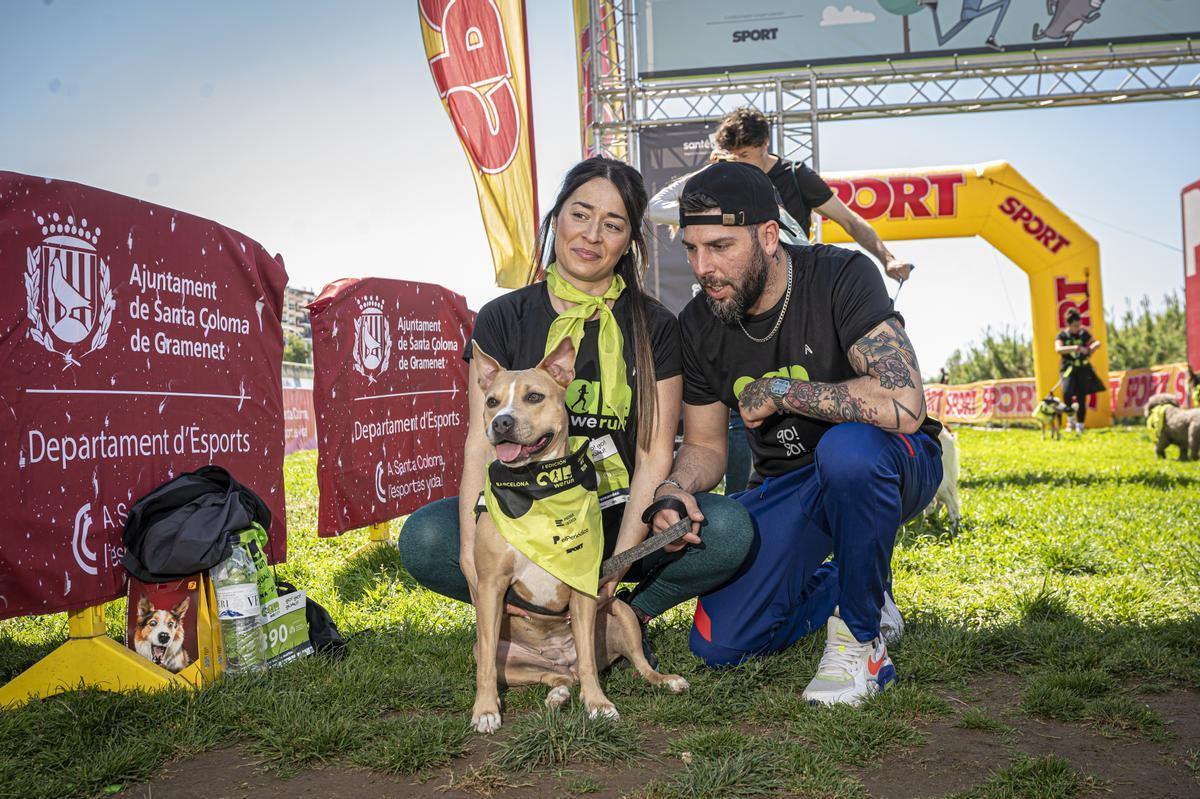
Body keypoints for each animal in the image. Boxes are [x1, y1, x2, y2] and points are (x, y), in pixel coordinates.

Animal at [472, 338, 691, 729]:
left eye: (534, 397)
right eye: (492, 401)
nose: (502, 422)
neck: (537, 488)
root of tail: (559, 658)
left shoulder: (585, 589)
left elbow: (589, 659)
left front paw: (598, 704)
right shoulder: (490, 588)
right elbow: (484, 670)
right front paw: (484, 710)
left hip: (620, 610)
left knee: (635, 664)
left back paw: (666, 680)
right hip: (500, 652)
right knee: (551, 676)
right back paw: (557, 695)